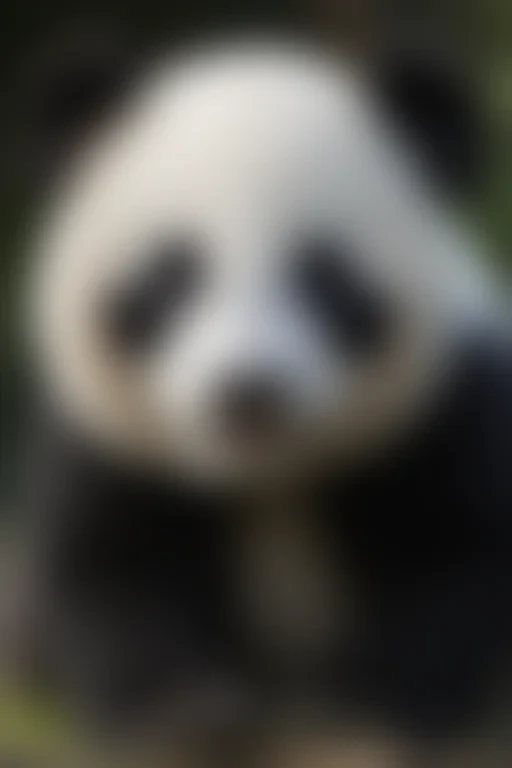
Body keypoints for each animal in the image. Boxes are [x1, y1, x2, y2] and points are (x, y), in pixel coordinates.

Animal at [21, 35, 511, 766]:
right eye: (174, 276)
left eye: (321, 276)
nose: (248, 395)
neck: (267, 479)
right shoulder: (114, 447)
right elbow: (112, 570)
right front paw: (186, 715)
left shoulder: (447, 408)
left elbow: (456, 558)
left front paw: (364, 712)